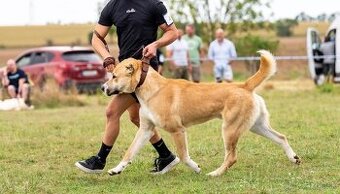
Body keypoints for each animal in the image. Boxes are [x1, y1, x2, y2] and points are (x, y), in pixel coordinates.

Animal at [101, 50, 300, 176]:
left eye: (114, 76)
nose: (102, 88)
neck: (152, 89)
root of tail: (244, 85)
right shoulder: (145, 130)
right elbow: (129, 153)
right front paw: (116, 170)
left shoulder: (177, 130)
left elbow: (183, 156)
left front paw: (196, 168)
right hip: (255, 126)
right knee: (281, 137)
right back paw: (294, 158)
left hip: (229, 130)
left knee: (232, 157)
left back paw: (215, 173)